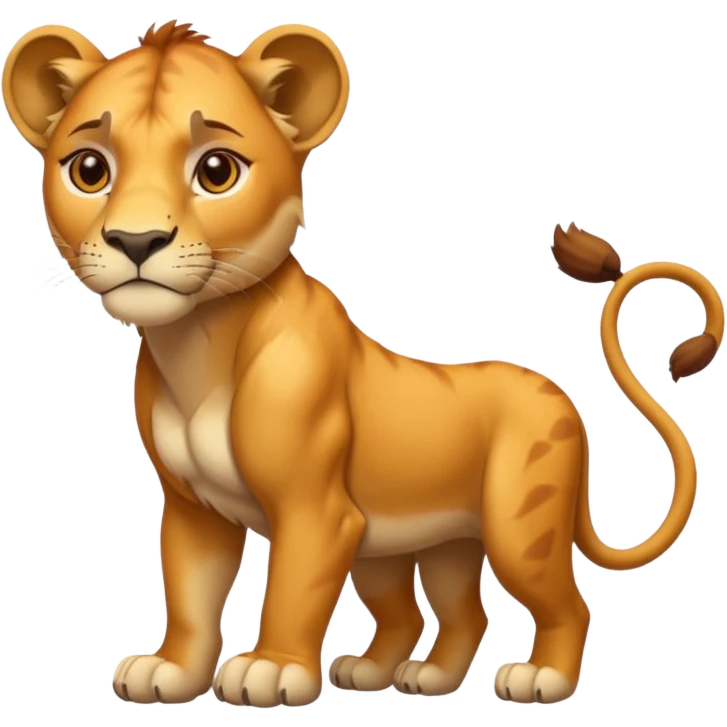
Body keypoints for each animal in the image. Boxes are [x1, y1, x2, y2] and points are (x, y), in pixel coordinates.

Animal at [5, 19, 724, 709]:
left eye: (216, 170)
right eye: (89, 168)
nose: (137, 241)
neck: (197, 341)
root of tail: (559, 397)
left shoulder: (317, 511)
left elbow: (291, 590)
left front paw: (270, 670)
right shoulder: (194, 509)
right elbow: (189, 595)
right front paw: (172, 672)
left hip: (516, 529)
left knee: (567, 606)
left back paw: (538, 678)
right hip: (422, 544)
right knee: (443, 614)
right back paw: (402, 673)